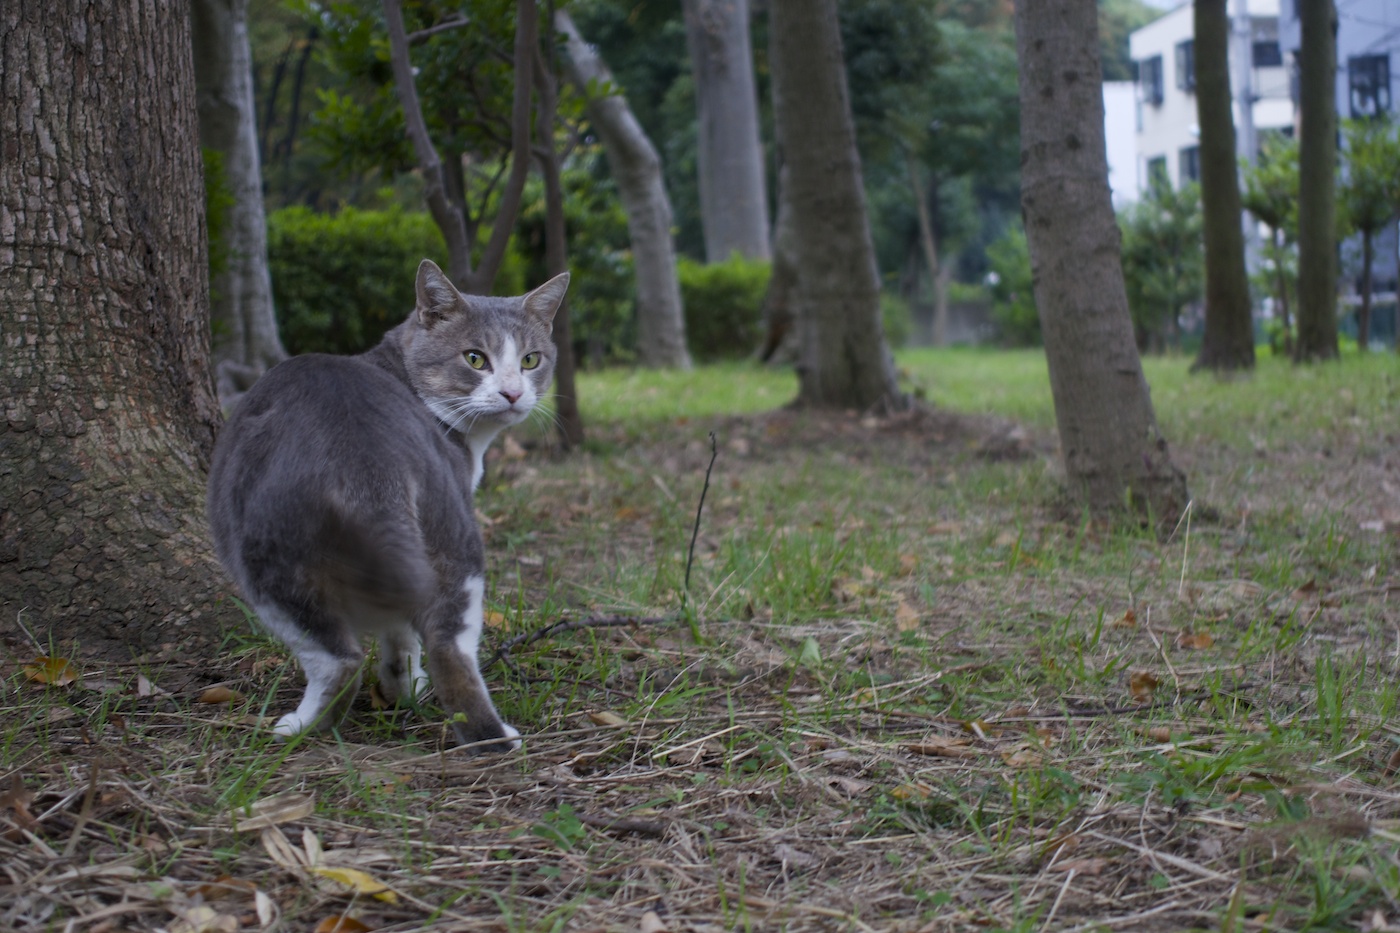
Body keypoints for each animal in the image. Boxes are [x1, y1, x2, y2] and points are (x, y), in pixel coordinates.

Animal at [204, 257, 565, 750]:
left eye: (531, 360)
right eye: (475, 358)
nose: (512, 393)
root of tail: (370, 457)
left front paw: (400, 687)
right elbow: (401, 630)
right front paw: (402, 687)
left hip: (264, 548)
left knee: (340, 658)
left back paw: (299, 726)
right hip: (448, 529)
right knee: (447, 641)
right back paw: (493, 738)